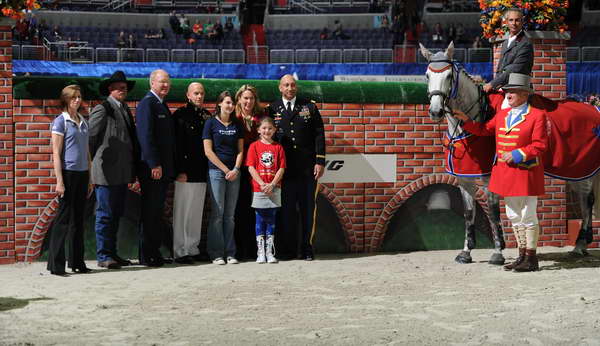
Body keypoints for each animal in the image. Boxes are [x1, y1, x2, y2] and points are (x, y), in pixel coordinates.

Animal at [420, 42, 596, 262]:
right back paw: (582, 244)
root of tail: (592, 107)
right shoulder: (463, 178)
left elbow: (493, 210)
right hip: (574, 171)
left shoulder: (488, 178)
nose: (435, 111)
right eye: (427, 75)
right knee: (583, 199)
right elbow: (469, 212)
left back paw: (580, 245)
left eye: (449, 76)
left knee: (587, 201)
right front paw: (466, 252)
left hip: (584, 169)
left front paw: (498, 251)